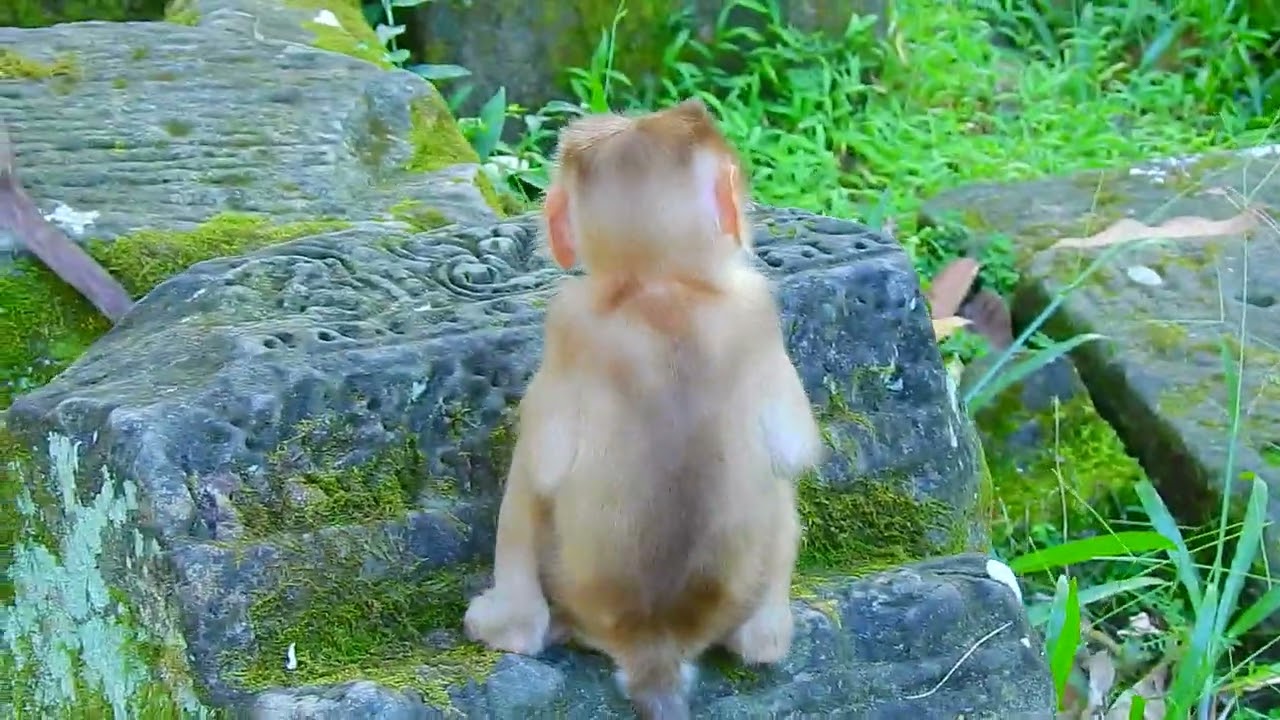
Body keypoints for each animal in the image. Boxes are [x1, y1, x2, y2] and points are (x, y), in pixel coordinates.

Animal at [462, 98, 825, 720]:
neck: (661, 283)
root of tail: (655, 644)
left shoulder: (567, 319)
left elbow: (536, 471)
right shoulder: (756, 306)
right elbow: (794, 452)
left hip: (568, 580)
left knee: (529, 497)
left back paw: (512, 626)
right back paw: (765, 638)